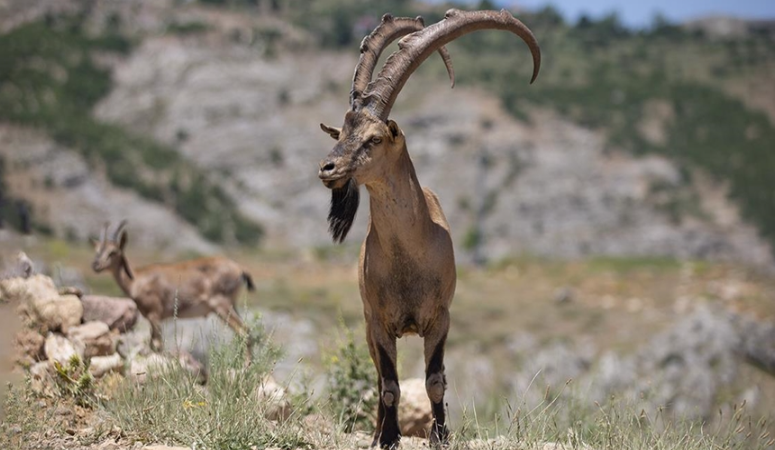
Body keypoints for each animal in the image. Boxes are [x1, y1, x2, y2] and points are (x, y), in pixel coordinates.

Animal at [90, 220, 255, 356]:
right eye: (97, 250)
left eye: (113, 252)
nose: (96, 265)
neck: (136, 280)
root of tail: (240, 270)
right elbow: (153, 344)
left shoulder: (155, 315)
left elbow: (157, 345)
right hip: (232, 305)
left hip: (222, 305)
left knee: (244, 332)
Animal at [316, 8, 540, 448]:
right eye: (342, 132)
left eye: (373, 138)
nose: (327, 168)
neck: (409, 256)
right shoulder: (379, 323)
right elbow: (389, 384)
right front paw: (388, 437)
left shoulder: (440, 319)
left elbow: (435, 381)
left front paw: (440, 434)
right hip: (367, 328)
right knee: (377, 378)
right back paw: (376, 431)